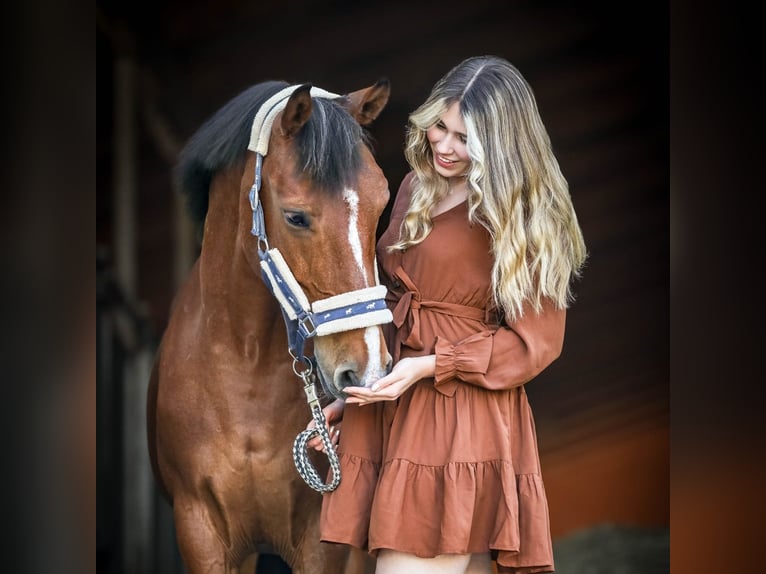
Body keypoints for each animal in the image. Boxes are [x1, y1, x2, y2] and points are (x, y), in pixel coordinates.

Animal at [146, 79, 393, 574]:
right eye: (296, 216)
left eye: (381, 206)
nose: (369, 370)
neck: (247, 365)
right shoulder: (201, 532)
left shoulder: (320, 539)